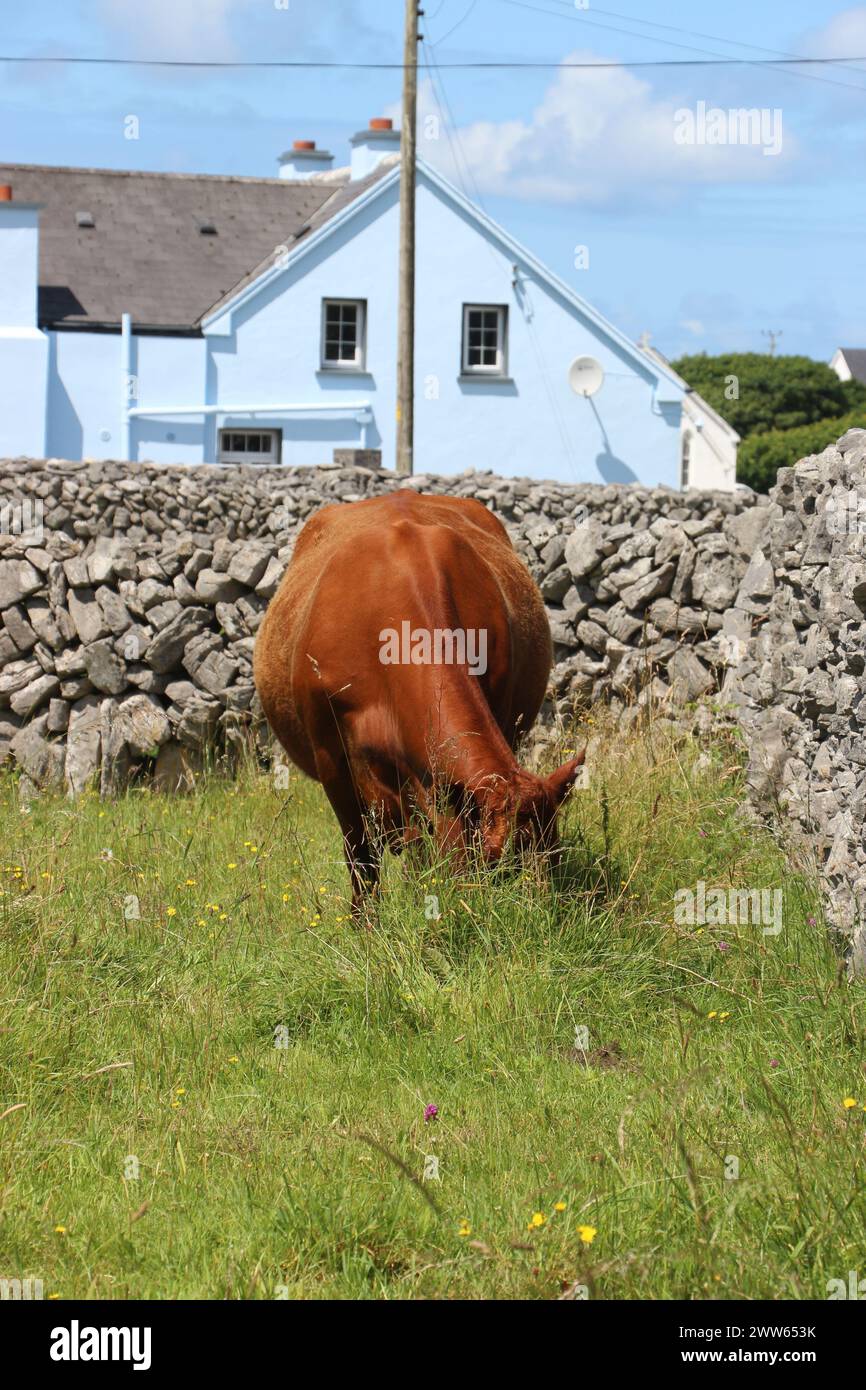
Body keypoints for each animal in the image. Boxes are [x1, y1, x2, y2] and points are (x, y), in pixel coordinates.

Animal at [254, 492, 586, 911]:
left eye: (554, 857)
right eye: (496, 863)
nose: (535, 915)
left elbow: (422, 852)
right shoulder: (330, 758)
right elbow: (360, 855)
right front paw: (366, 920)